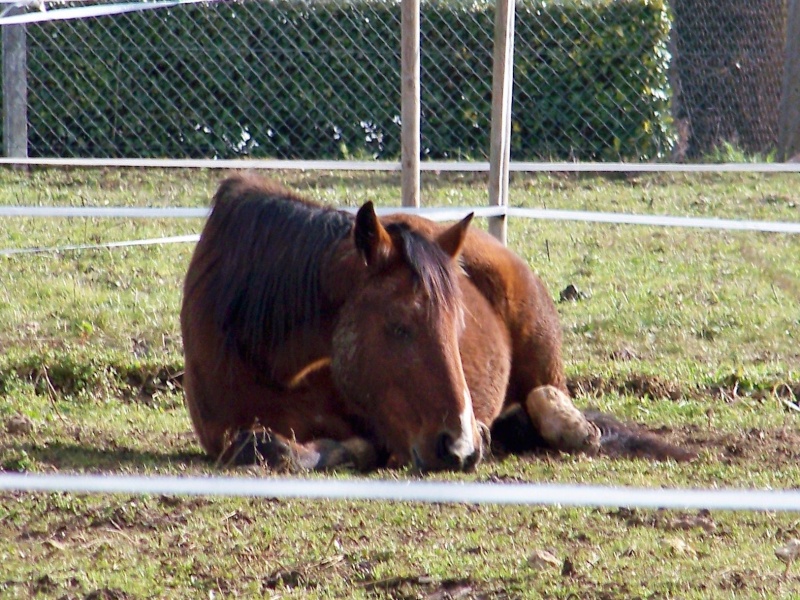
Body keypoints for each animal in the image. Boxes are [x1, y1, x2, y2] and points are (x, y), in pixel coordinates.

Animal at [181, 173, 692, 474]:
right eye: (398, 326)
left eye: (458, 326)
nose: (458, 448)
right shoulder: (217, 430)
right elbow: (263, 445)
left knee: (548, 401)